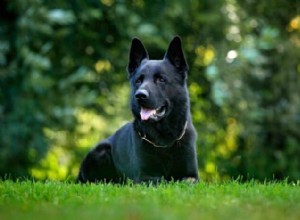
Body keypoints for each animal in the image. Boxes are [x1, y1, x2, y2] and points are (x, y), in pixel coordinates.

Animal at [77, 36, 199, 184]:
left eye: (161, 79)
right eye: (138, 81)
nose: (140, 95)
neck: (163, 141)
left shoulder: (191, 176)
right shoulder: (144, 177)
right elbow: (163, 180)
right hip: (102, 151)